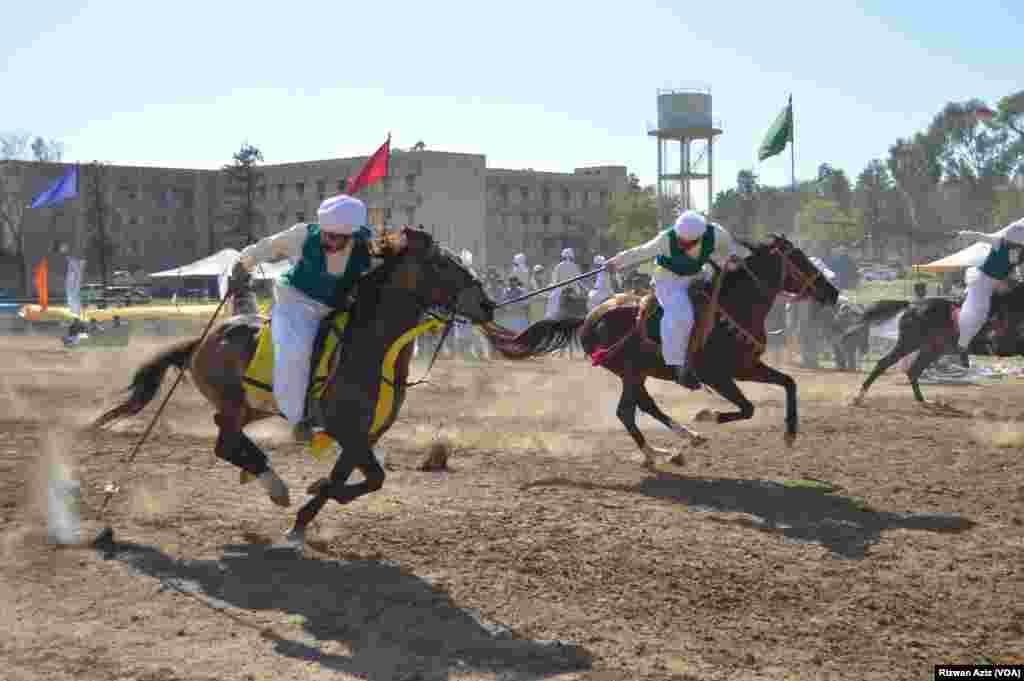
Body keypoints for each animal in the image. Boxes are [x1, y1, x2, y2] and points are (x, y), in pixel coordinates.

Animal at [94, 228, 493, 548]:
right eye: (442, 264)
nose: (487, 305)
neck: (370, 348)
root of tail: (203, 340)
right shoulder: (346, 430)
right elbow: (371, 477)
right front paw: (311, 495)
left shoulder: (363, 436)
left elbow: (360, 479)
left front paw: (305, 516)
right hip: (235, 401)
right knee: (225, 439)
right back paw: (273, 483)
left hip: (254, 406)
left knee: (226, 439)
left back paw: (260, 474)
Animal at [479, 235, 839, 466]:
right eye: (798, 260)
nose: (832, 292)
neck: (732, 307)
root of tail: (589, 317)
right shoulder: (719, 375)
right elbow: (748, 408)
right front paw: (707, 415)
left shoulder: (746, 367)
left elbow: (789, 382)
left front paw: (790, 433)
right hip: (629, 372)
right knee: (628, 411)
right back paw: (663, 450)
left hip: (636, 373)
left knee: (641, 406)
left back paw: (676, 445)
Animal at [847, 280, 1024, 403]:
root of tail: (912, 305)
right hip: (910, 343)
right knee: (884, 363)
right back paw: (858, 397)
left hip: (932, 348)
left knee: (913, 371)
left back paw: (922, 400)